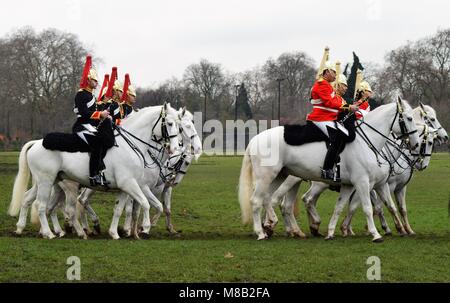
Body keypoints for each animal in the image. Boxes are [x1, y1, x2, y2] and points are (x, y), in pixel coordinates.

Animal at [7, 104, 180, 240]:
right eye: (170, 123)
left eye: (179, 125)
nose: (174, 148)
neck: (131, 145)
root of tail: (37, 143)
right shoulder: (131, 184)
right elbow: (146, 204)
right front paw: (145, 229)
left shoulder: (125, 188)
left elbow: (119, 209)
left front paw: (114, 233)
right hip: (47, 182)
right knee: (43, 206)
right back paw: (51, 233)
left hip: (47, 182)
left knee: (29, 200)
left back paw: (21, 228)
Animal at [239, 98, 418, 243]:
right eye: (409, 118)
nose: (415, 145)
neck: (367, 140)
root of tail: (255, 139)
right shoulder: (362, 182)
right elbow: (367, 208)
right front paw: (376, 234)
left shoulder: (361, 185)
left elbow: (342, 207)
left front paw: (331, 233)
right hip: (267, 177)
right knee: (257, 201)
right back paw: (261, 232)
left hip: (280, 176)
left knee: (268, 199)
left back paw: (272, 225)